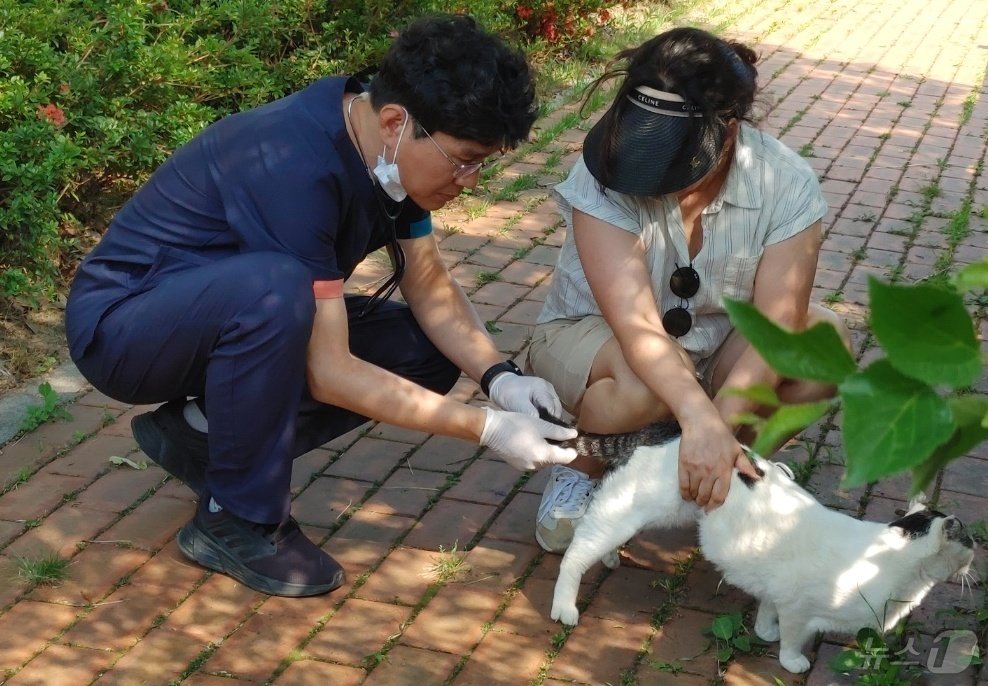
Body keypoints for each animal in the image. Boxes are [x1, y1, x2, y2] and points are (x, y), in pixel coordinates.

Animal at [548, 422, 980, 676]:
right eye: (972, 542)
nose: (977, 552)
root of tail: (668, 425)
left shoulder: (778, 589)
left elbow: (768, 612)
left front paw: (764, 630)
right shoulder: (799, 607)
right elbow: (792, 637)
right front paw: (792, 659)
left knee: (589, 524)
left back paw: (608, 558)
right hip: (628, 512)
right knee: (576, 551)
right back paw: (565, 606)